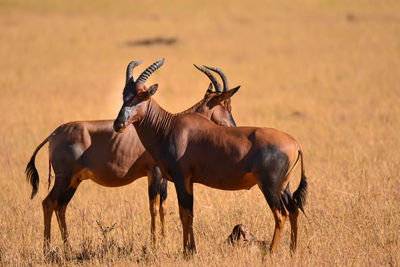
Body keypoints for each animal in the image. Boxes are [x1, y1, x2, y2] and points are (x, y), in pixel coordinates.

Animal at [25, 59, 238, 254]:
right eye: (227, 103)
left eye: (140, 95)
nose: (233, 127)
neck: (166, 125)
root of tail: (54, 134)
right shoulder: (154, 172)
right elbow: (154, 207)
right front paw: (154, 246)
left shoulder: (165, 177)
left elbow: (163, 206)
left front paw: (163, 242)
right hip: (64, 177)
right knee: (48, 203)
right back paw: (47, 250)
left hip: (74, 180)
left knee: (60, 206)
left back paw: (67, 249)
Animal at [114, 58, 308, 255]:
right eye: (124, 94)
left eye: (142, 95)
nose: (118, 124)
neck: (169, 126)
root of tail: (295, 143)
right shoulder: (189, 180)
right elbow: (190, 213)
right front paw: (191, 250)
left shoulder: (181, 177)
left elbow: (184, 214)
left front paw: (187, 252)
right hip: (284, 186)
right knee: (294, 210)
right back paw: (293, 251)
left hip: (269, 186)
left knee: (281, 215)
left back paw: (270, 254)